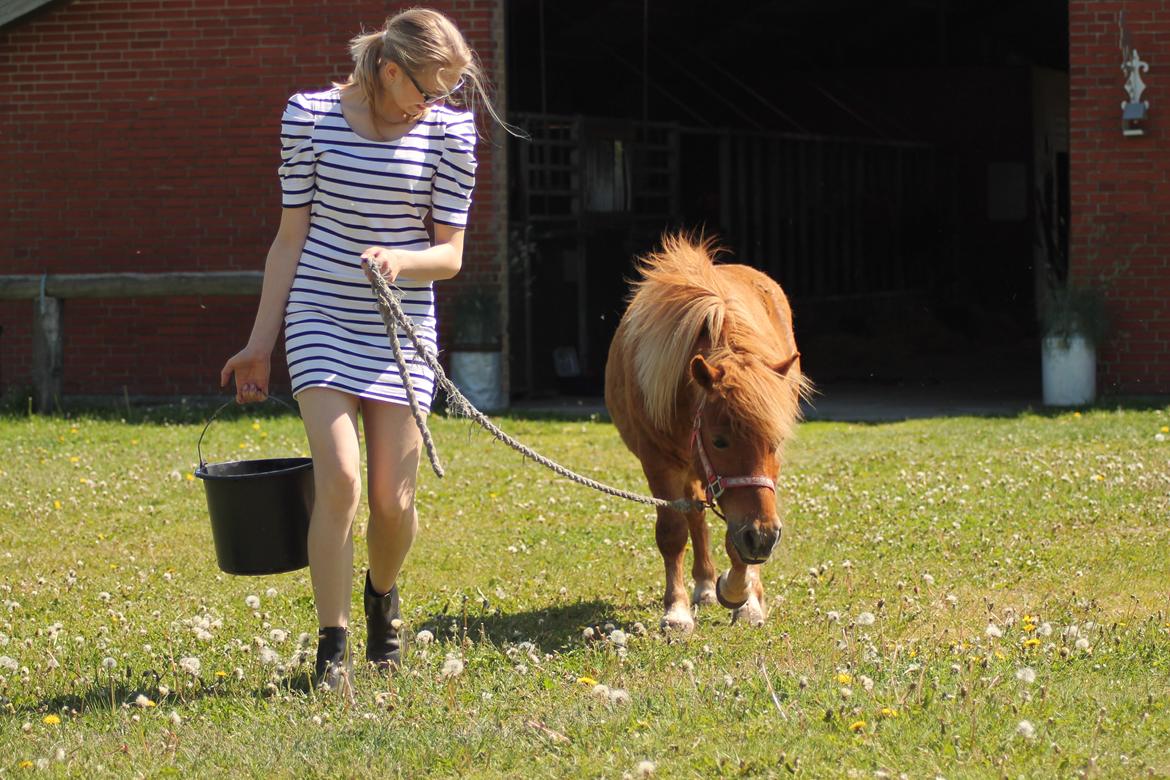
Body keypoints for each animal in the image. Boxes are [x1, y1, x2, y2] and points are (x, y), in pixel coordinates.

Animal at [603, 235, 804, 631]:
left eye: (775, 442)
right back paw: (705, 584)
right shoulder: (659, 463)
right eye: (719, 440)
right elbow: (673, 532)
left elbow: (736, 540)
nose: (764, 538)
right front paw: (677, 612)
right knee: (694, 518)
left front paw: (743, 596)